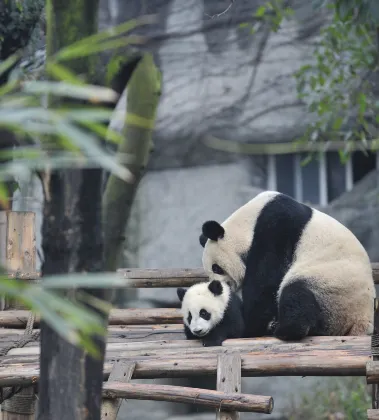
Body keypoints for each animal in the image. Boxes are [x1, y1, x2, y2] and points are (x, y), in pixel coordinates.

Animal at [199, 190, 378, 342]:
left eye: (216, 268)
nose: (218, 286)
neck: (249, 222)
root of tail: (362, 322)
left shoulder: (276, 230)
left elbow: (265, 282)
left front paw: (249, 326)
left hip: (334, 287)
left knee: (296, 293)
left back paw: (284, 329)